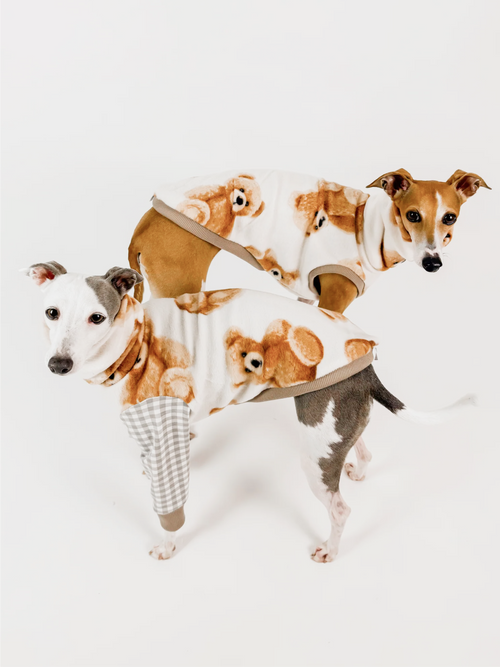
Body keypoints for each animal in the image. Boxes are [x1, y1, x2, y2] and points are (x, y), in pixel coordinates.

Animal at [27, 262, 476, 563]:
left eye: (96, 317)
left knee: (341, 508)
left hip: (314, 456)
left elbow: (169, 508)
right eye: (51, 313)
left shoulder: (165, 429)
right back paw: (359, 469)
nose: (58, 364)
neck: (137, 341)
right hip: (336, 425)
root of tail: (365, 359)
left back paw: (330, 549)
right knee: (362, 445)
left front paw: (168, 545)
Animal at [129, 168, 490, 313]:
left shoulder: (308, 294)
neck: (373, 227)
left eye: (450, 218)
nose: (432, 263)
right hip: (182, 290)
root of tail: (141, 229)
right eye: (412, 215)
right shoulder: (334, 298)